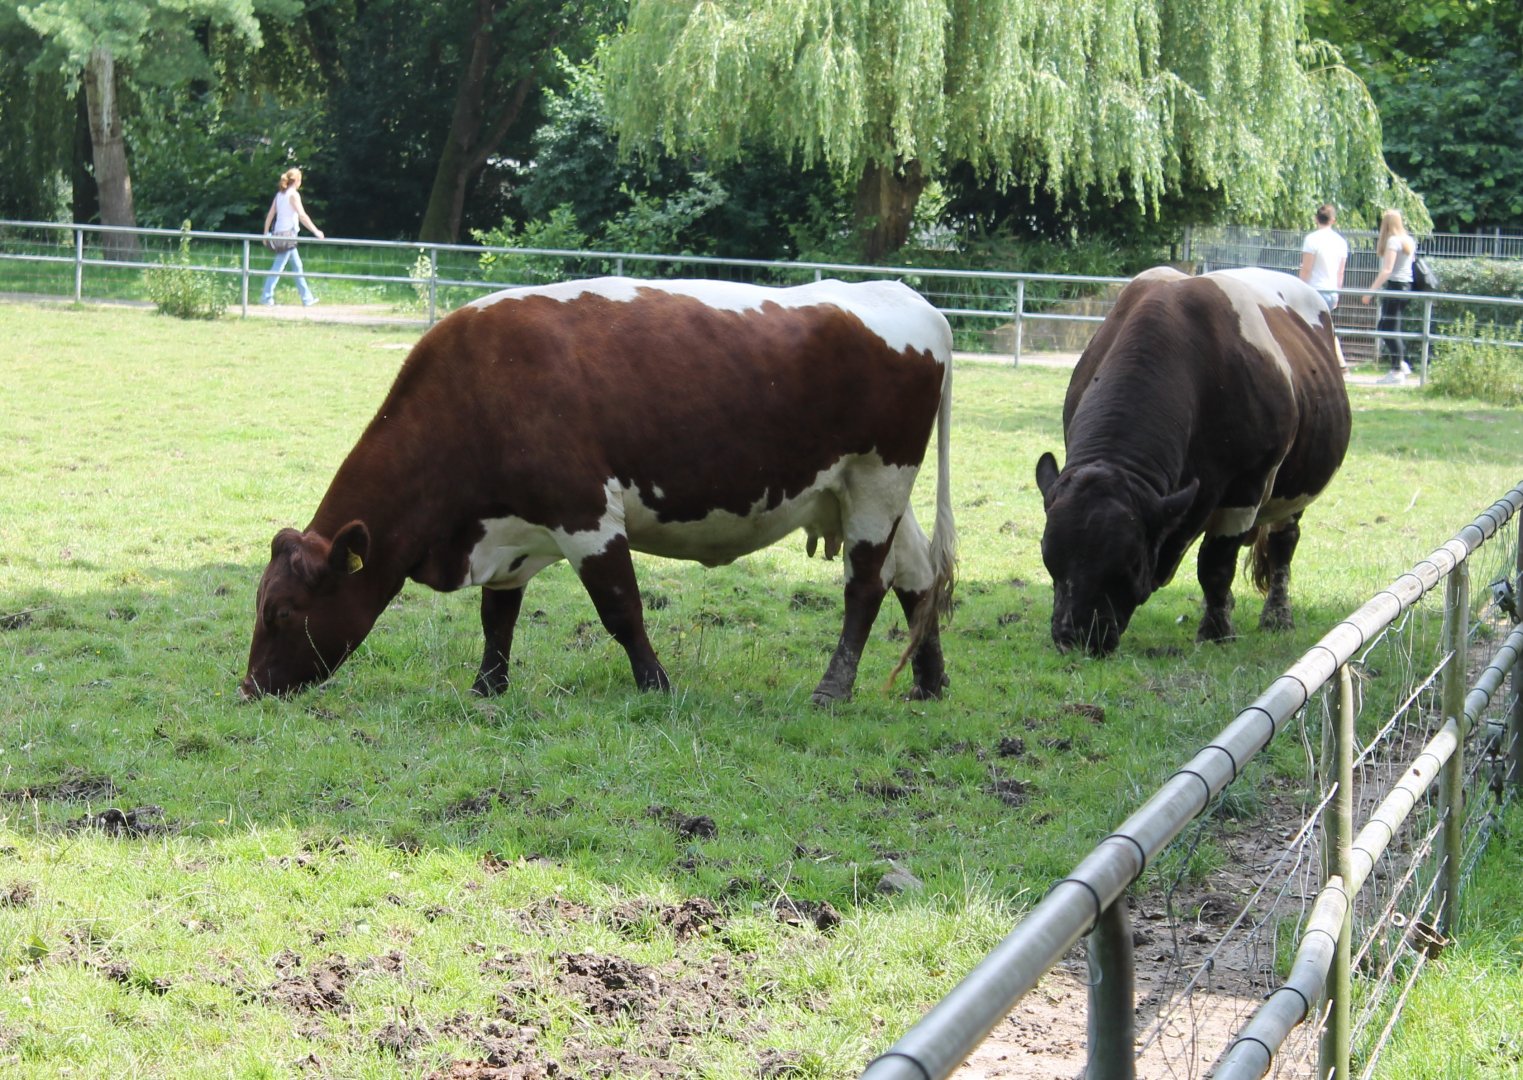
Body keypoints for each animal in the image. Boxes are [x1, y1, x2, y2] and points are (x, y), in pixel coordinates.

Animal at [241, 276, 956, 705]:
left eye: (282, 613)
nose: (249, 689)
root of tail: (910, 299)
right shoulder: (509, 529)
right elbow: (498, 616)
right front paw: (488, 687)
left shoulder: (585, 512)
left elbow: (620, 609)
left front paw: (656, 685)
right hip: (865, 490)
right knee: (916, 577)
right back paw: (930, 683)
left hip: (878, 479)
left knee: (865, 587)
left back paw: (834, 688)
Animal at [1034, 266, 1350, 655]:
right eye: (1048, 554)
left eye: (1132, 562)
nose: (1076, 636)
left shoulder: (1246, 487)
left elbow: (1214, 565)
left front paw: (1216, 631)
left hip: (1294, 492)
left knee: (1282, 545)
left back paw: (1277, 616)